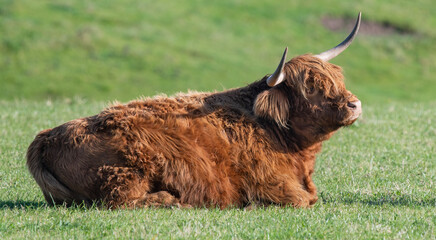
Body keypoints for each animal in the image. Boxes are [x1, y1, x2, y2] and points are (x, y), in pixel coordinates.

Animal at [26, 13, 362, 208]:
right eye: (310, 86)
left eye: (336, 78)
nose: (354, 104)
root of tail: (45, 138)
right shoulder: (272, 184)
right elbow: (302, 199)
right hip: (127, 170)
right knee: (122, 199)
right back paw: (175, 201)